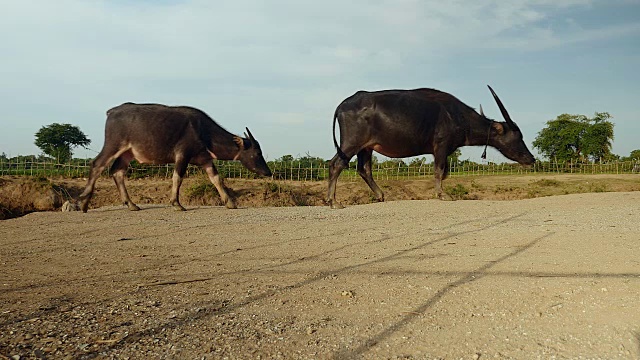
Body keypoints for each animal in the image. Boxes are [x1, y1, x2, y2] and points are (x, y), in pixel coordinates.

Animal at [77, 102, 272, 212]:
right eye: (257, 153)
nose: (268, 172)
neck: (203, 132)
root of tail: (112, 112)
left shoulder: (205, 160)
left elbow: (216, 179)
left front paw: (230, 202)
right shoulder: (182, 156)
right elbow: (177, 178)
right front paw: (176, 204)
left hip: (127, 152)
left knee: (117, 172)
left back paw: (131, 204)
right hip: (113, 145)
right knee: (97, 165)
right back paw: (84, 202)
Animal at [324, 86, 536, 208]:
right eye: (517, 136)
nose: (531, 159)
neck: (459, 117)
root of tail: (343, 104)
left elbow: (444, 173)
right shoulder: (441, 146)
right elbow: (439, 171)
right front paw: (443, 195)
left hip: (366, 147)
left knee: (364, 168)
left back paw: (380, 196)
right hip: (352, 143)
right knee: (336, 164)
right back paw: (333, 201)